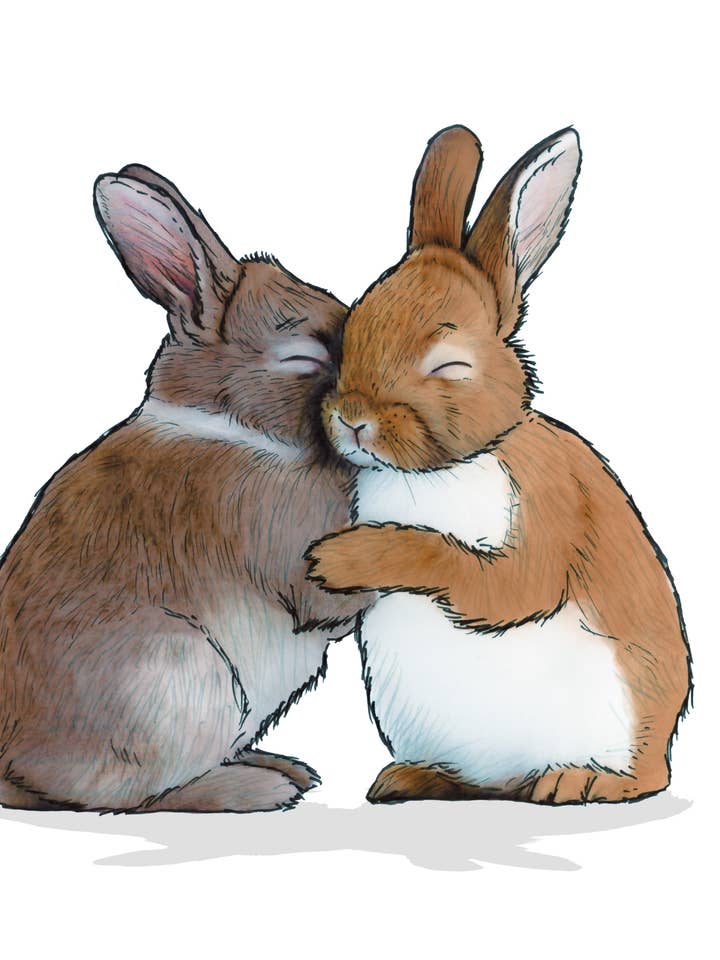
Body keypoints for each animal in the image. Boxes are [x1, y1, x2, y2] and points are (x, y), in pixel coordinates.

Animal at [0, 163, 366, 813]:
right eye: (303, 358)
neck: (233, 428)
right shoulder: (281, 542)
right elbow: (333, 599)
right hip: (178, 677)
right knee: (123, 795)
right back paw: (261, 789)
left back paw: (283, 769)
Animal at [306, 125, 692, 805]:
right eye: (350, 337)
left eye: (450, 366)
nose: (353, 418)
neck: (439, 471)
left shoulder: (542, 514)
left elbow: (475, 575)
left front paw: (341, 558)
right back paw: (411, 778)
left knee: (646, 777)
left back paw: (575, 782)